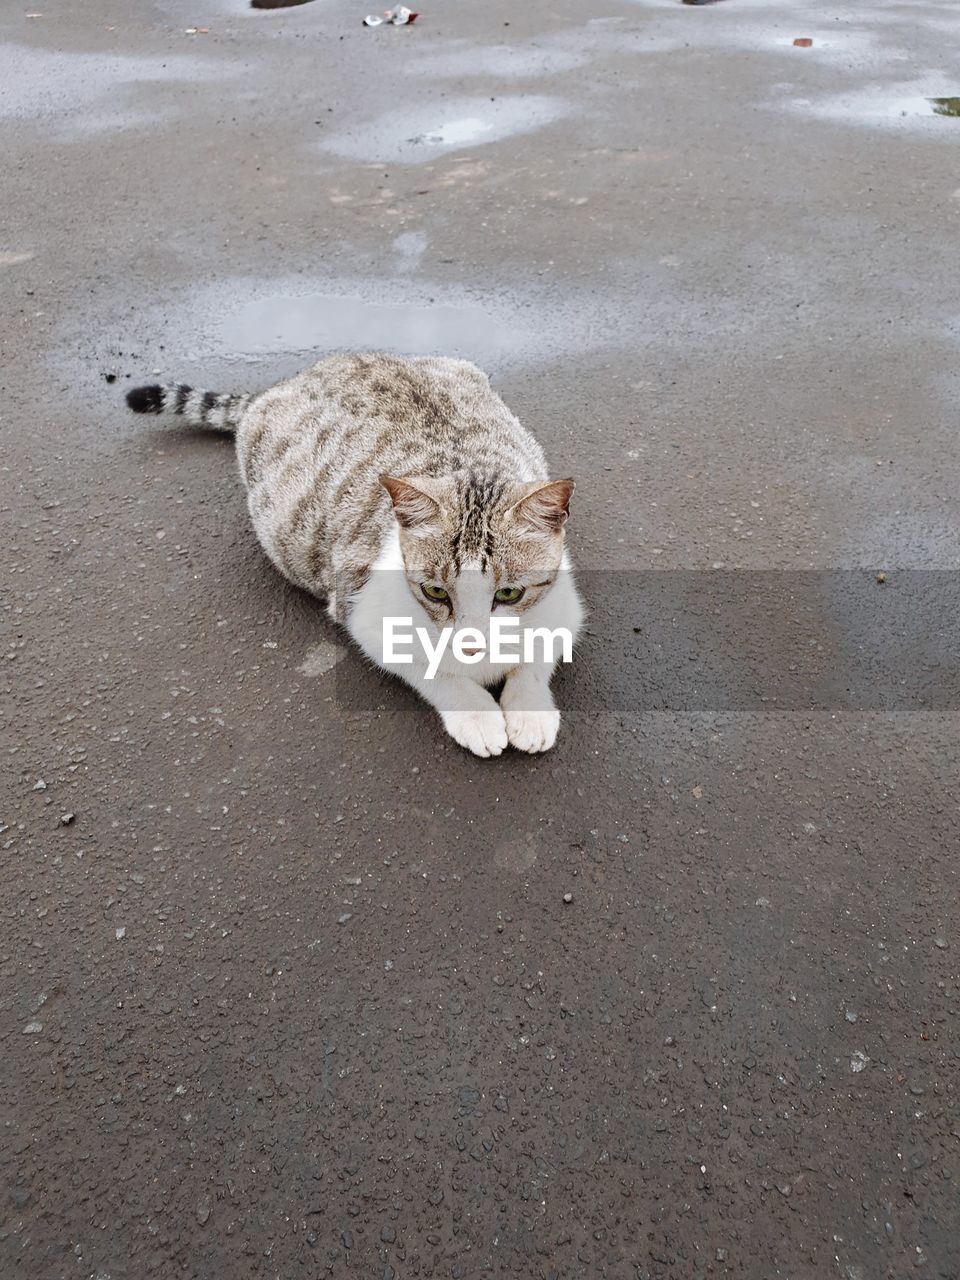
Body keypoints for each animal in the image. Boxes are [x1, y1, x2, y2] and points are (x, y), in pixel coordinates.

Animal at [124, 350, 583, 752]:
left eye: (509, 594)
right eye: (435, 592)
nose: (471, 646)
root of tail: (288, 381)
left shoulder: (565, 604)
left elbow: (538, 654)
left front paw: (529, 709)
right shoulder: (362, 613)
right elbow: (433, 671)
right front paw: (476, 714)